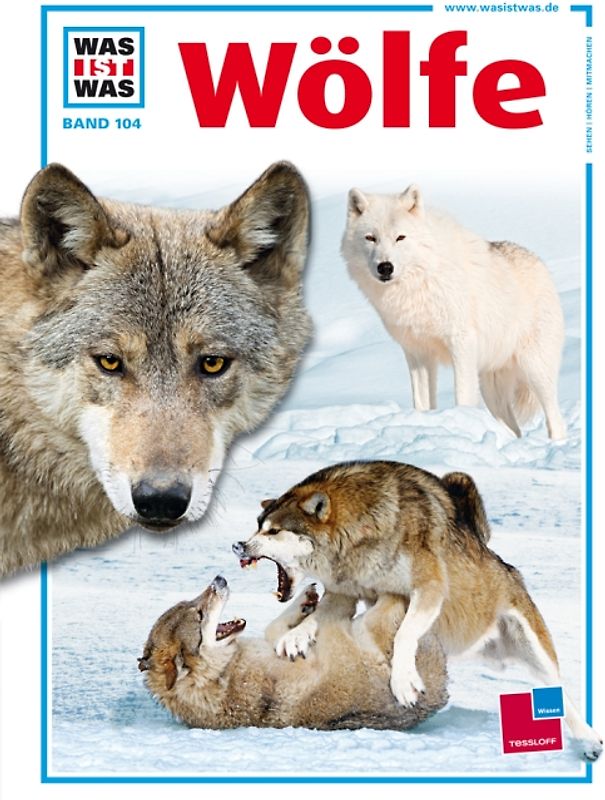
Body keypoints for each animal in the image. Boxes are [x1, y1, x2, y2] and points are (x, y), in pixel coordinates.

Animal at [139, 574, 448, 731]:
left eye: (193, 603)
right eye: (200, 614)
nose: (219, 578)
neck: (223, 674)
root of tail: (441, 687)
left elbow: (277, 629)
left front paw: (304, 603)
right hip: (371, 628)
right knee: (389, 601)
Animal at [233, 461, 602, 761]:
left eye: (274, 531)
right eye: (258, 526)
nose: (238, 545)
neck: (361, 530)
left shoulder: (429, 588)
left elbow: (405, 634)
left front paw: (404, 682)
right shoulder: (345, 592)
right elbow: (321, 616)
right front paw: (296, 637)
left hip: (533, 648)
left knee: (562, 693)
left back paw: (589, 742)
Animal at [341, 186, 566, 440]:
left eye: (400, 237)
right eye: (370, 238)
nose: (385, 267)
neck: (419, 281)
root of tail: (540, 264)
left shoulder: (461, 343)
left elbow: (462, 396)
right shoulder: (417, 352)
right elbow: (422, 402)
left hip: (535, 370)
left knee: (556, 419)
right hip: (491, 389)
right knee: (514, 430)